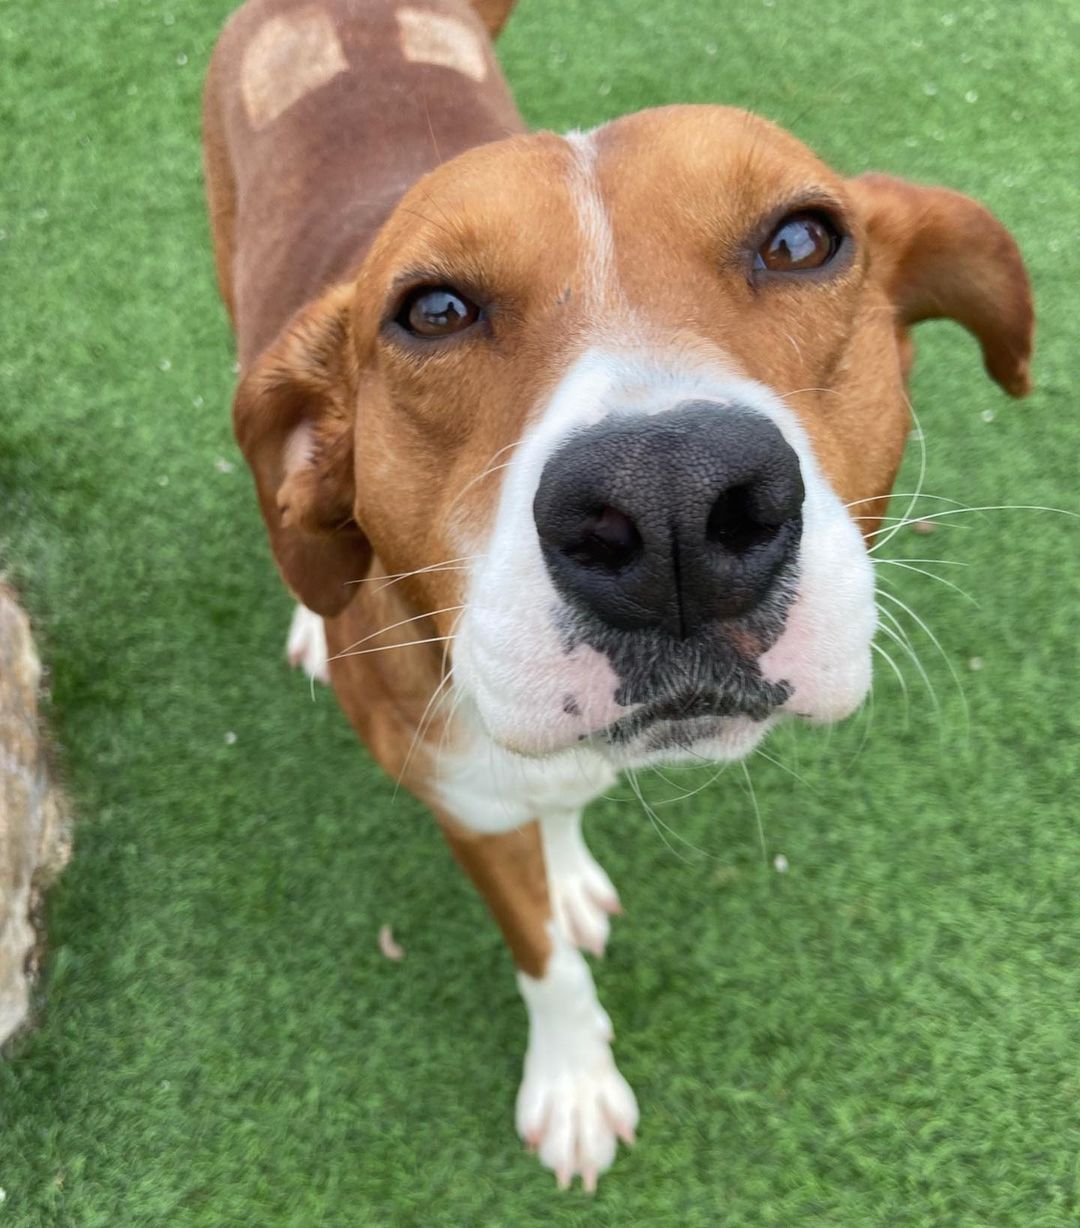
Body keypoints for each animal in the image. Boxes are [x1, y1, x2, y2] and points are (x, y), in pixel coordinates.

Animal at [200, 0, 1032, 1188]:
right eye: (433, 310)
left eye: (802, 240)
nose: (670, 503)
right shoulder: (461, 803)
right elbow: (541, 951)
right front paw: (575, 1079)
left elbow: (559, 808)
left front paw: (569, 864)